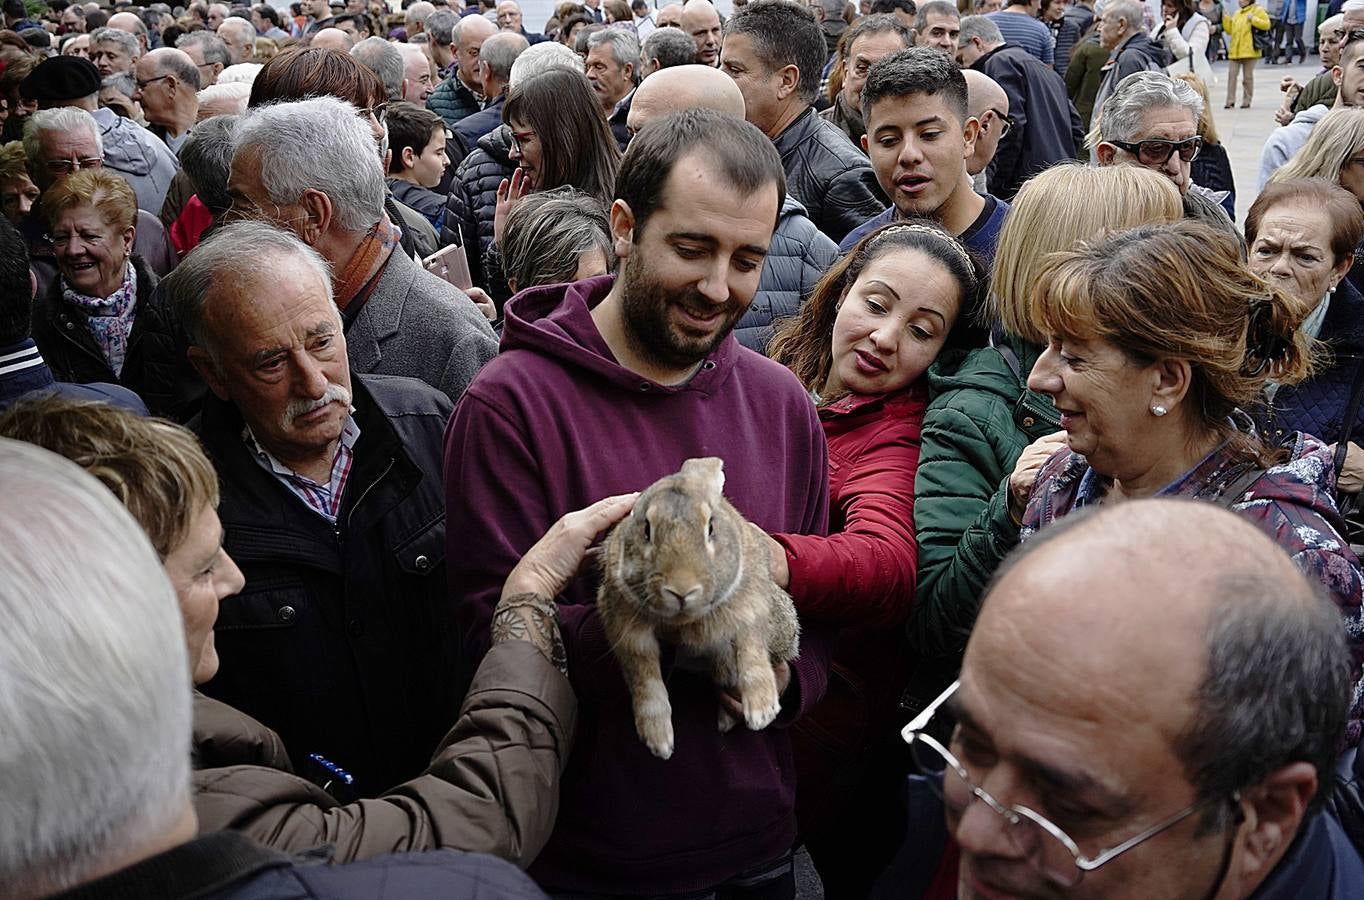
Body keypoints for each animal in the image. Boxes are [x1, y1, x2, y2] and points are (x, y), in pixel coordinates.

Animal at [597, 458, 796, 758]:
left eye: (710, 527)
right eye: (646, 530)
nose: (682, 589)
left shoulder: (752, 607)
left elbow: (753, 654)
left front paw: (762, 710)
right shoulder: (628, 632)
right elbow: (647, 682)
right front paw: (658, 740)